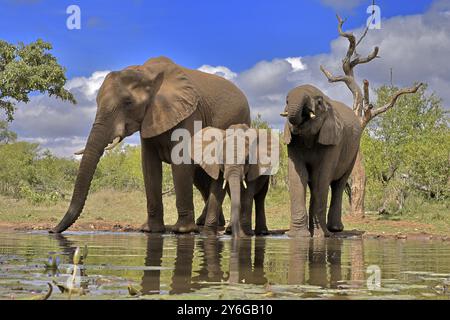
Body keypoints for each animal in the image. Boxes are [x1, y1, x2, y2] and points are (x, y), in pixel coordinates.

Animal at [51, 57, 253, 232]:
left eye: (128, 102)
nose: (52, 231)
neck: (147, 73)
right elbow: (149, 165)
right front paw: (150, 230)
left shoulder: (189, 114)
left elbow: (180, 162)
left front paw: (183, 231)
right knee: (201, 179)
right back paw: (208, 224)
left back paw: (222, 228)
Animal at [282, 85, 362, 238]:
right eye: (286, 101)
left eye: (319, 102)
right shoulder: (293, 142)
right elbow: (298, 176)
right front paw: (298, 236)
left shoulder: (334, 140)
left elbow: (320, 178)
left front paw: (320, 236)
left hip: (353, 152)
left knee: (338, 185)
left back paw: (335, 229)